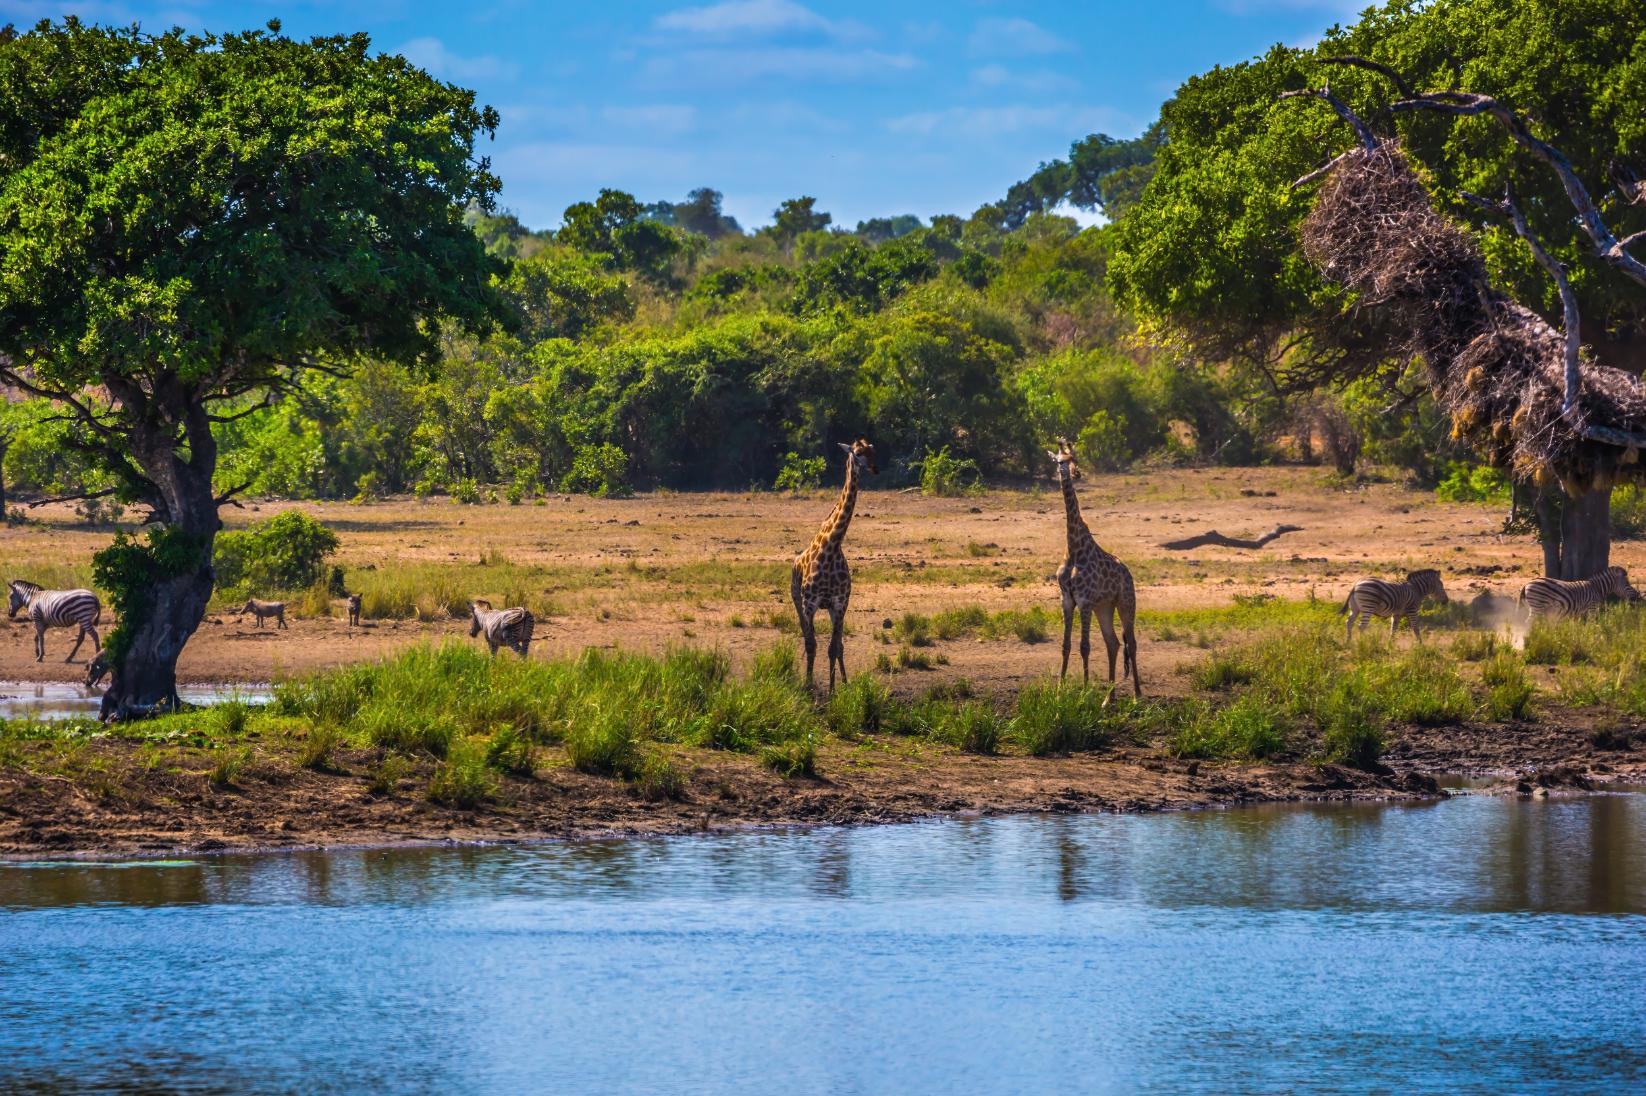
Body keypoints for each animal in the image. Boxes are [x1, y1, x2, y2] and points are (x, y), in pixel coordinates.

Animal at [792, 437, 877, 691]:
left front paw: (834, 689)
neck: (832, 546)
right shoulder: (809, 603)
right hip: (796, 600)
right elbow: (812, 645)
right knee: (807, 637)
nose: (875, 469)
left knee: (838, 645)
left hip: (833, 608)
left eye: (873, 452)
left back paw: (845, 682)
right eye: (857, 453)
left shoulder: (839, 603)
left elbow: (834, 648)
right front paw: (809, 685)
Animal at [1050, 439, 1141, 699]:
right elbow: (1066, 645)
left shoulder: (1085, 600)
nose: (1074, 474)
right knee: (1114, 643)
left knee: (1131, 643)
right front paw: (1059, 690)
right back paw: (1108, 698)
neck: (1074, 548)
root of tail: (1128, 574)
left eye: (1074, 459)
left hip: (1126, 602)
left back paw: (1137, 695)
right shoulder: (1067, 600)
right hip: (1105, 607)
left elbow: (1085, 646)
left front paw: (1083, 691)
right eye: (1059, 461)